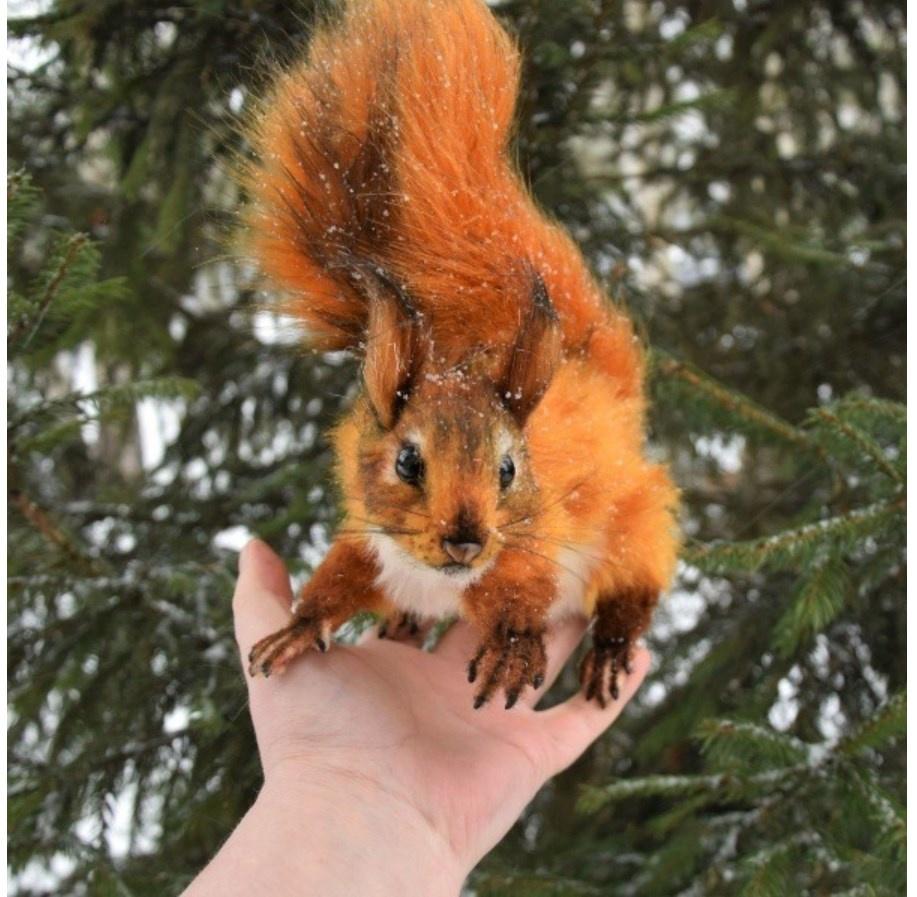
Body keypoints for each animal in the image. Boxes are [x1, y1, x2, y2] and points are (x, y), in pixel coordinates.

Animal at [237, 0, 679, 709]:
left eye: (509, 469)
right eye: (406, 461)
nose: (467, 542)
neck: (432, 575)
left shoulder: (531, 546)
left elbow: (524, 590)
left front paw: (513, 645)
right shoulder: (368, 544)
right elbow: (336, 582)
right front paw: (297, 627)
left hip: (630, 523)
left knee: (633, 580)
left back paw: (612, 643)